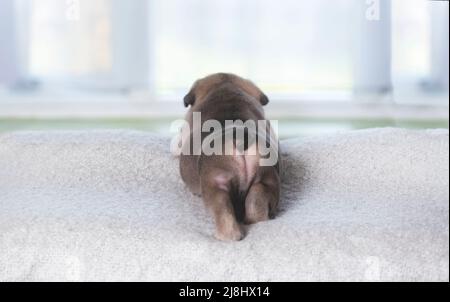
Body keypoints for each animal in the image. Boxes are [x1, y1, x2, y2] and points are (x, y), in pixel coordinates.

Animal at [178, 73, 278, 241]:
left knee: (224, 215)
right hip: (264, 180)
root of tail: (241, 139)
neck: (226, 90)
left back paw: (225, 236)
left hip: (216, 186)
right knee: (255, 206)